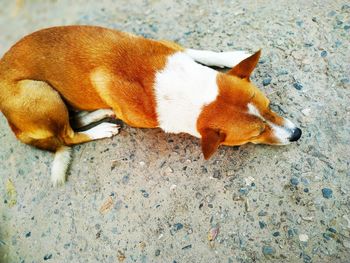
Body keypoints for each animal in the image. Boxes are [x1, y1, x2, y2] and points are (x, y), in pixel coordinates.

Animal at [0, 24, 300, 186]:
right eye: (257, 133)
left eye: (270, 106)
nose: (297, 134)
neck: (183, 87)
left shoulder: (174, 49)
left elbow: (203, 53)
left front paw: (232, 56)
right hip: (40, 91)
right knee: (67, 135)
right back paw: (100, 128)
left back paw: (97, 112)